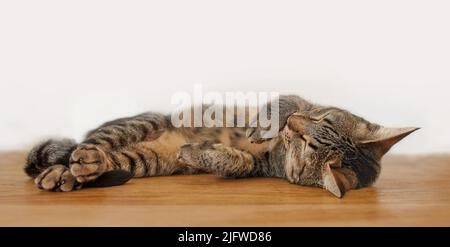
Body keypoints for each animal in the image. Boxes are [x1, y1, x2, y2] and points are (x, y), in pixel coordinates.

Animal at [23, 94, 418, 197]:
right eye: (322, 119)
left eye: (307, 143)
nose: (293, 126)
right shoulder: (295, 98)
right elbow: (281, 103)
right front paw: (265, 127)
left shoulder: (260, 168)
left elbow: (238, 163)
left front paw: (200, 153)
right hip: (138, 125)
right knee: (78, 148)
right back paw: (61, 171)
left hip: (140, 160)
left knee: (102, 159)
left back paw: (76, 172)